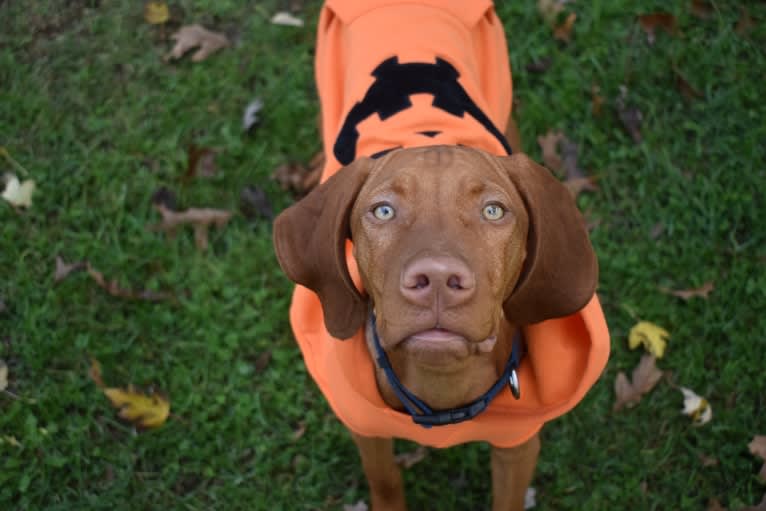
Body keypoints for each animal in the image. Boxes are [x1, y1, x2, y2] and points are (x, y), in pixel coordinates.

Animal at [276, 2, 612, 510]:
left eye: (494, 210)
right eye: (383, 210)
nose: (436, 279)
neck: (443, 389)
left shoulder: (518, 447)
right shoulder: (368, 433)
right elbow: (386, 483)